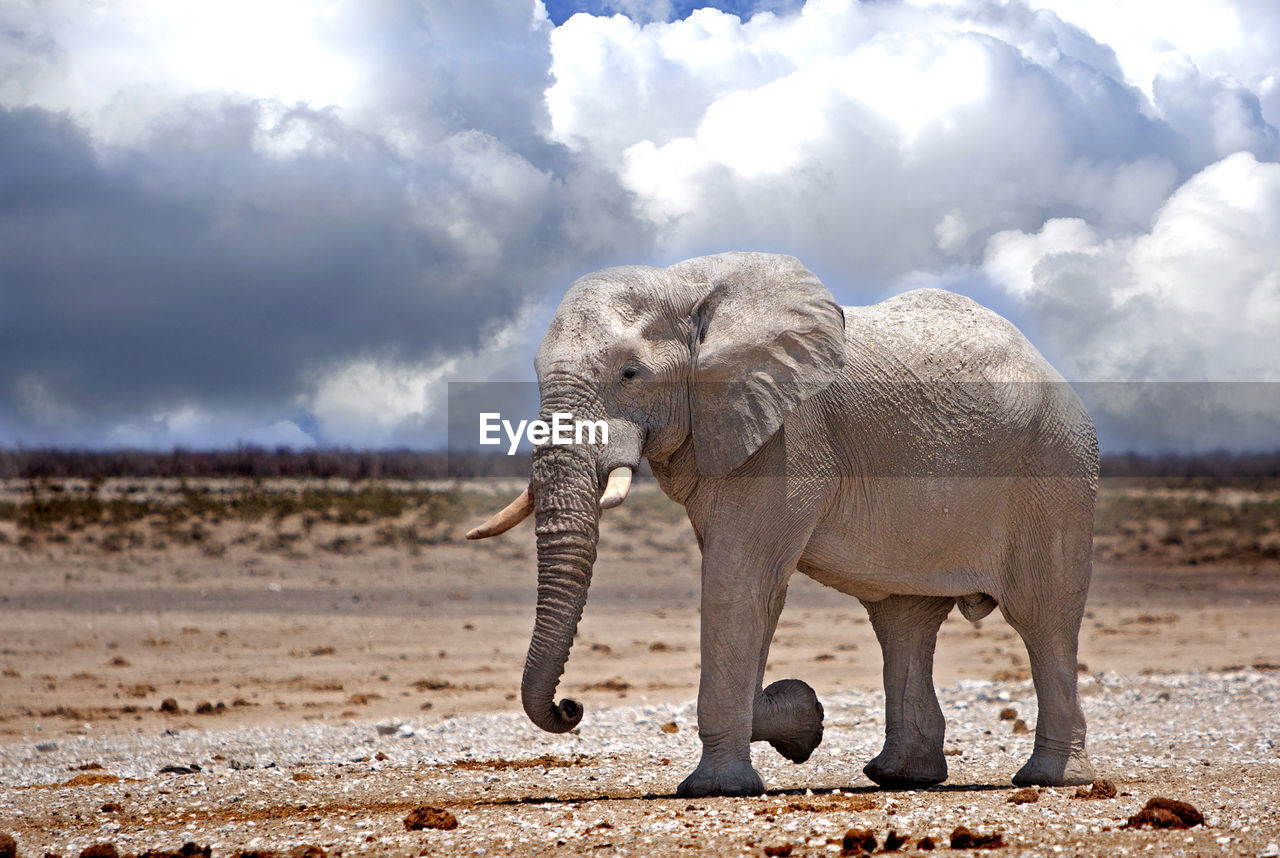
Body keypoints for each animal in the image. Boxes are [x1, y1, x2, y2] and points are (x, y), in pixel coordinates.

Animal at [471, 250, 1100, 799]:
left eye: (630, 374)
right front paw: (803, 718)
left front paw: (722, 785)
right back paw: (901, 776)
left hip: (1056, 472)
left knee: (1042, 617)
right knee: (903, 620)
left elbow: (738, 582)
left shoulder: (787, 438)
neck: (686, 287)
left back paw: (1050, 779)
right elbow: (758, 592)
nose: (570, 707)